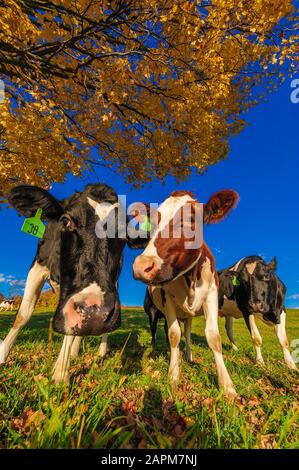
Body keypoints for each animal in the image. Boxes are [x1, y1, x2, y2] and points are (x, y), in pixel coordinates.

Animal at [0, 182, 146, 384]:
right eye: (65, 221)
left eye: (123, 235)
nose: (94, 312)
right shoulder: (38, 265)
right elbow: (23, 315)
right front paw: (2, 353)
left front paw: (61, 372)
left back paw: (99, 351)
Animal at [132, 189, 240, 398]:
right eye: (153, 224)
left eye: (191, 220)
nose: (141, 266)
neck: (190, 279)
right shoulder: (167, 300)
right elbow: (174, 335)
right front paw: (174, 374)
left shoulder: (211, 296)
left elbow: (213, 337)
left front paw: (227, 385)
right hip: (152, 311)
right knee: (157, 331)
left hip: (187, 315)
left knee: (187, 332)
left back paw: (188, 355)